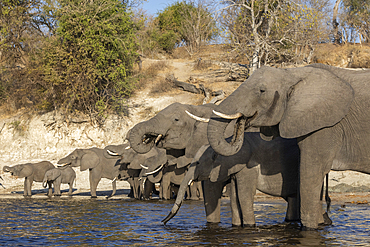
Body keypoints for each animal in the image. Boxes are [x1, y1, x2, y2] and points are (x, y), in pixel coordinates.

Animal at [207, 62, 370, 229]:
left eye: (262, 91)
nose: (242, 121)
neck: (293, 74)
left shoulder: (326, 125)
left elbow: (311, 172)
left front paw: (310, 229)